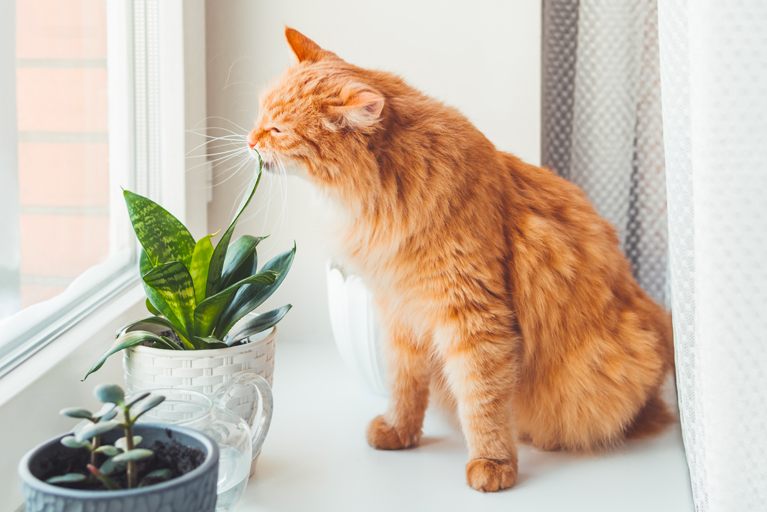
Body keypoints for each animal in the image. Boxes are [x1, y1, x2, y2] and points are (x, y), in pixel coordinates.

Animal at [249, 28, 676, 492]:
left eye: (277, 129)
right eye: (259, 113)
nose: (250, 141)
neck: (383, 198)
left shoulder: (472, 317)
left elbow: (482, 399)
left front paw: (493, 462)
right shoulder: (399, 314)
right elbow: (405, 386)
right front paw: (399, 432)